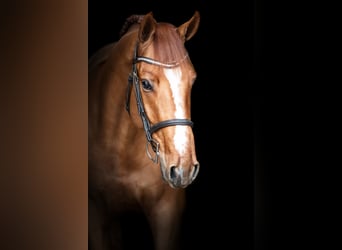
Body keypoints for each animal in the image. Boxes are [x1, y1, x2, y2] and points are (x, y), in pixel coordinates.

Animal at [88, 10, 200, 249]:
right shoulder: (96, 215)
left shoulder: (167, 214)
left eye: (192, 81)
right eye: (146, 84)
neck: (119, 149)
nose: (184, 167)